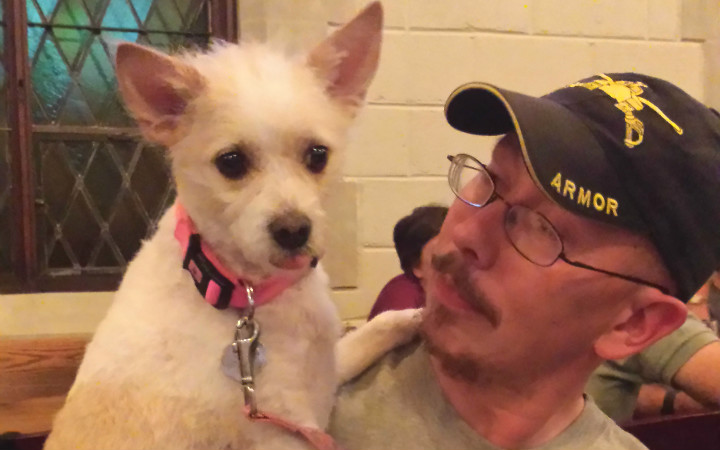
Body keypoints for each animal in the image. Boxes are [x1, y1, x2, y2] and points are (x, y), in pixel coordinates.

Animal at [44, 3, 420, 449]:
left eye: (318, 155)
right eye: (231, 162)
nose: (294, 231)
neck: (243, 290)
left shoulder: (323, 381)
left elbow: (367, 335)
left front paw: (414, 316)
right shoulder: (286, 430)